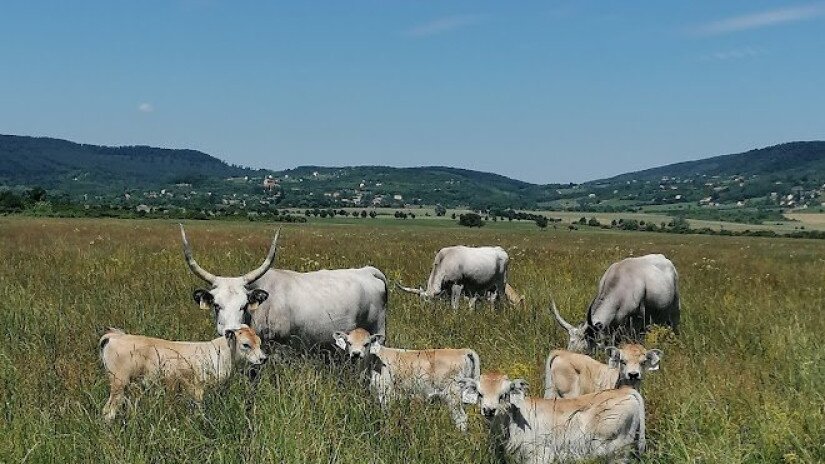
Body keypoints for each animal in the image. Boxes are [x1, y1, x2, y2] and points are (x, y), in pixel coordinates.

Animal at [97, 326, 266, 420]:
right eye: (246, 344)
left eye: (259, 343)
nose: (263, 358)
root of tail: (117, 336)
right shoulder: (198, 388)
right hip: (119, 383)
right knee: (108, 411)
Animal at [332, 328, 480, 430]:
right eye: (349, 342)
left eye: (366, 343)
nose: (356, 354)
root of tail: (461, 350)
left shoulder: (386, 394)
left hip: (452, 395)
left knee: (461, 418)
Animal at [458, 374, 644, 464]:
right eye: (480, 394)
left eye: (503, 395)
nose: (489, 410)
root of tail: (626, 391)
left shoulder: (541, 454)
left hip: (617, 450)